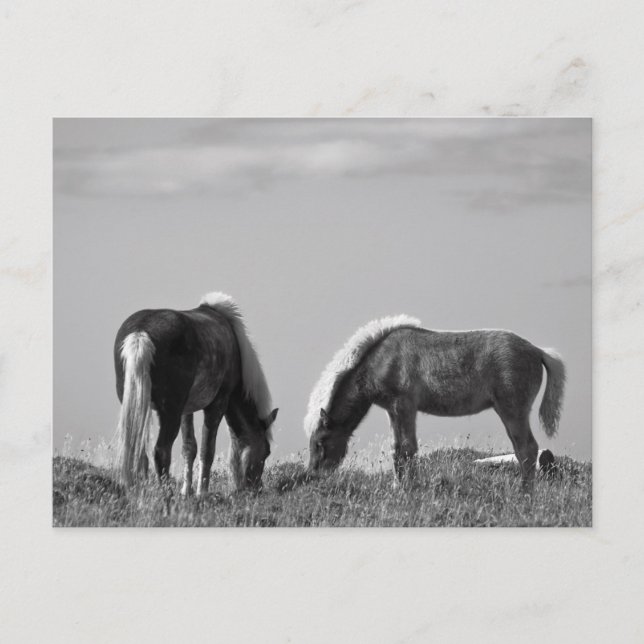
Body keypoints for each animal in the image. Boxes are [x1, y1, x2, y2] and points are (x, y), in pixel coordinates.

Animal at [114, 292, 278, 494]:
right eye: (267, 451)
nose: (256, 488)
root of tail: (140, 334)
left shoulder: (186, 410)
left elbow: (189, 448)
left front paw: (187, 491)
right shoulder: (217, 404)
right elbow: (207, 450)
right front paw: (202, 493)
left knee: (140, 453)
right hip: (169, 413)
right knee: (161, 451)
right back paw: (165, 494)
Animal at [304, 316, 565, 486]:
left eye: (320, 442)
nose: (314, 476)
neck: (381, 361)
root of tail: (537, 350)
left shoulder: (404, 405)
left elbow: (406, 449)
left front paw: (406, 489)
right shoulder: (394, 410)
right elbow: (399, 449)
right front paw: (400, 485)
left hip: (512, 410)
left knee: (527, 449)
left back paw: (524, 492)